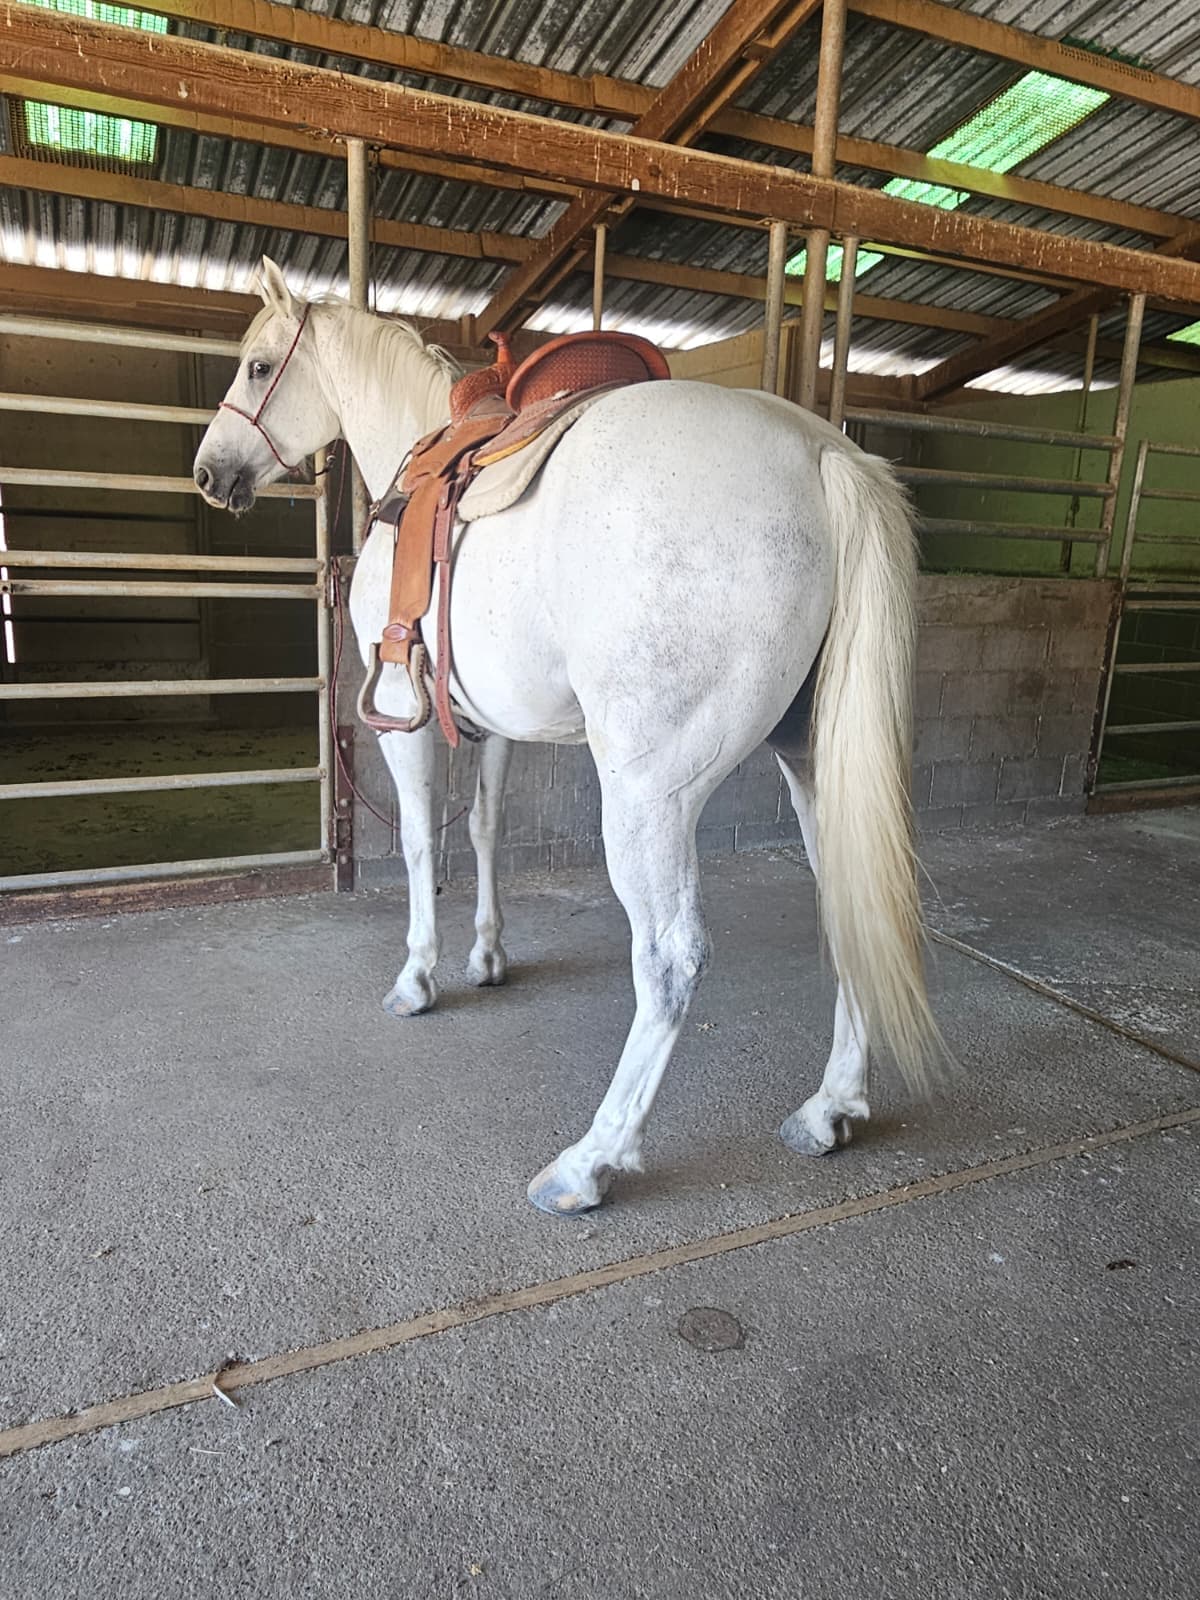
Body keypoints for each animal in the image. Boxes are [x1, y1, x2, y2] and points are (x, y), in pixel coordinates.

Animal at [193, 257, 940, 1216]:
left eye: (257, 366)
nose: (210, 472)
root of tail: (825, 454)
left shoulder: (403, 712)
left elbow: (422, 843)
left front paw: (418, 978)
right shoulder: (494, 721)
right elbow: (483, 829)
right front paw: (488, 956)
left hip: (649, 793)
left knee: (670, 958)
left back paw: (592, 1161)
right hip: (813, 766)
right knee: (847, 909)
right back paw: (831, 1108)